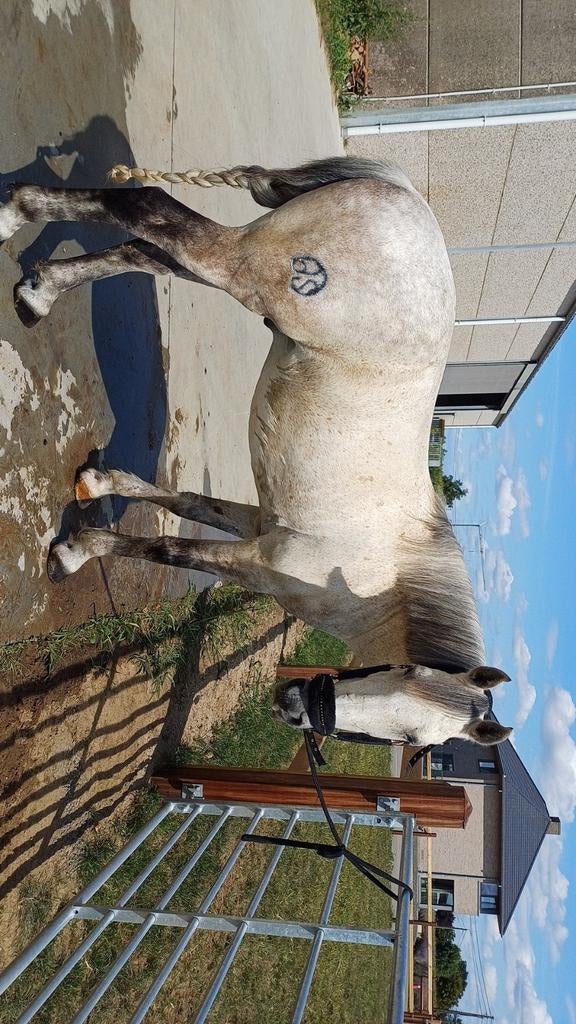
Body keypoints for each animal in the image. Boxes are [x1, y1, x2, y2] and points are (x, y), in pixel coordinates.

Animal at [0, 155, 512, 747]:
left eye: (412, 741)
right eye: (403, 671)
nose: (292, 704)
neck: (376, 586)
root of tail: (403, 193)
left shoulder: (258, 523)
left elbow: (187, 503)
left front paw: (100, 484)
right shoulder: (258, 563)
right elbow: (168, 549)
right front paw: (74, 552)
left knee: (144, 249)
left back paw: (38, 289)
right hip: (252, 271)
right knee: (149, 209)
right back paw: (16, 216)